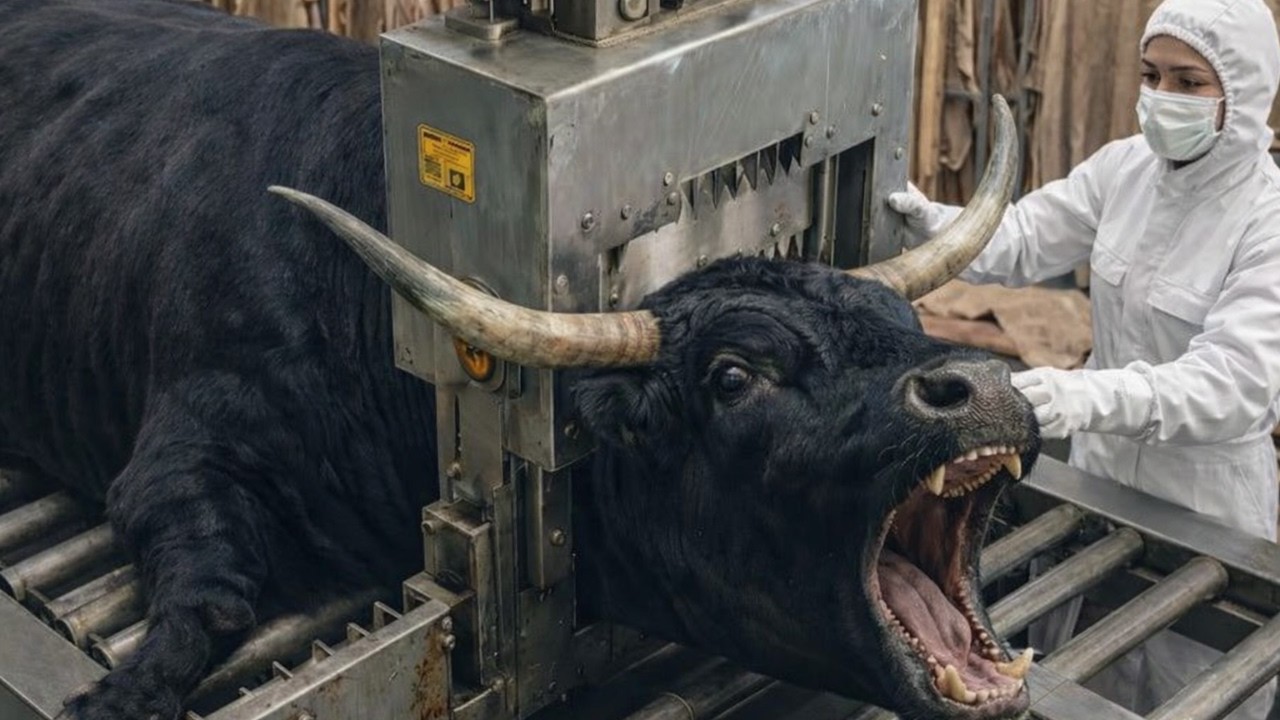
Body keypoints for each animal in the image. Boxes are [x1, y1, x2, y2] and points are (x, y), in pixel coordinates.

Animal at [0, 1, 1041, 719]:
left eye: (897, 313)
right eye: (733, 376)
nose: (981, 384)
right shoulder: (178, 452)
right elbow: (209, 603)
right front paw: (117, 694)